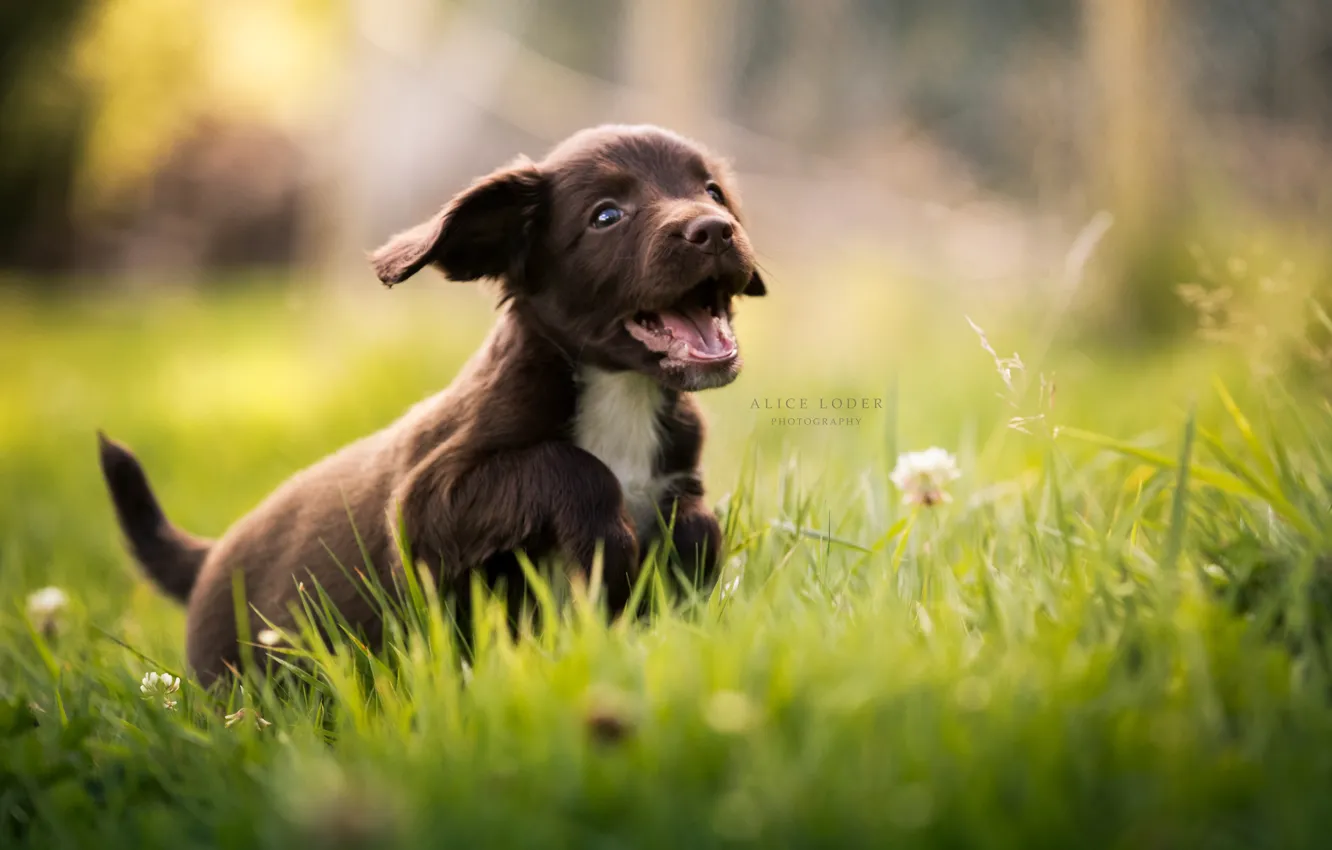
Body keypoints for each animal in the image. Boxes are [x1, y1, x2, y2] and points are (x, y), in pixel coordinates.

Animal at [98, 125, 767, 687]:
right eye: (607, 215)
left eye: (712, 191)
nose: (714, 229)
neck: (619, 392)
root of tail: (209, 558)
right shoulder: (427, 506)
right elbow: (574, 466)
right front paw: (610, 541)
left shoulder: (676, 474)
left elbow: (697, 523)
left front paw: (684, 570)